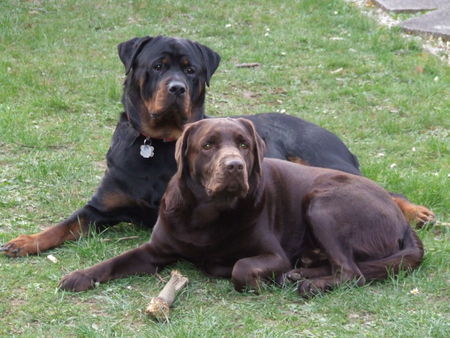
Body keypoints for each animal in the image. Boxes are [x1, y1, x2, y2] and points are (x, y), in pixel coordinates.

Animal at [1, 35, 434, 256]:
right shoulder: (100, 207)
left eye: (190, 70)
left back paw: (418, 212)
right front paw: (25, 241)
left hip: (324, 159)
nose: (177, 88)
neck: (156, 145)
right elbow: (65, 225)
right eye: (157, 66)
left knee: (381, 190)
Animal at [58, 118, 424, 296]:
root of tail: (401, 221)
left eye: (244, 145)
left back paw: (307, 283)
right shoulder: (154, 251)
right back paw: (302, 270)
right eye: (208, 145)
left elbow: (240, 267)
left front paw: (254, 279)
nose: (233, 166)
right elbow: (114, 262)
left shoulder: (272, 254)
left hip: (323, 203)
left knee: (353, 272)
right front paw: (78, 276)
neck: (205, 213)